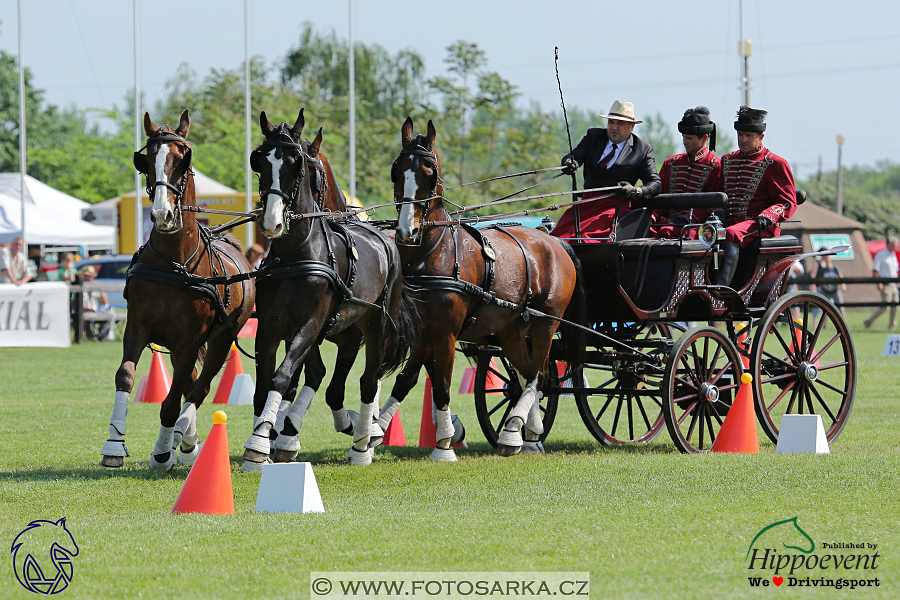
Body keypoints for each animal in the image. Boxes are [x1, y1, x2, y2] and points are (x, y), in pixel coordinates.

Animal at [102, 110, 256, 472]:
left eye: (183, 159)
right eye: (146, 161)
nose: (163, 214)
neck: (175, 263)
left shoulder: (190, 340)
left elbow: (173, 402)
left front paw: (163, 450)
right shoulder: (137, 328)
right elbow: (125, 376)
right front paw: (114, 444)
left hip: (222, 337)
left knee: (200, 385)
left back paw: (181, 440)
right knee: (191, 382)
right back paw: (184, 440)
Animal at [243, 111, 418, 468]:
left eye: (296, 163)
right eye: (259, 160)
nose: (271, 223)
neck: (295, 255)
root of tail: (386, 239)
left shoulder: (311, 326)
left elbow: (284, 377)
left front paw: (262, 441)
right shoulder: (269, 327)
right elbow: (268, 383)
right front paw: (267, 438)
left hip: (377, 326)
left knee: (369, 379)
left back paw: (364, 442)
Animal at [378, 119, 584, 462]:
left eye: (430, 172)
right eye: (396, 170)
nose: (407, 231)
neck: (434, 253)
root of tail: (554, 240)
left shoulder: (445, 333)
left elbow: (442, 387)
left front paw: (444, 445)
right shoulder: (423, 331)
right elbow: (407, 380)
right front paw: (372, 432)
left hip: (546, 322)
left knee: (538, 375)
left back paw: (514, 427)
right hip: (511, 329)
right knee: (527, 374)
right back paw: (526, 434)